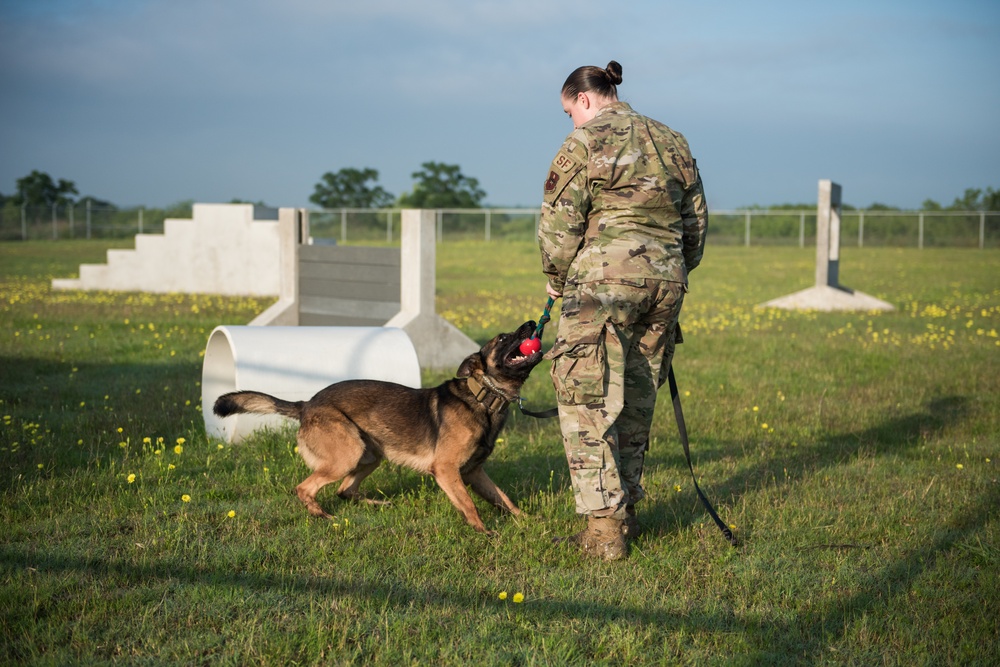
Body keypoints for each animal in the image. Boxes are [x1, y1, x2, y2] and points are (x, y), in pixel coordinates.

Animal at [211, 320, 544, 536]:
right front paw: (483, 532)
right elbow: (469, 504)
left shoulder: (474, 472)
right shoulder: (447, 470)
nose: (531, 323)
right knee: (306, 488)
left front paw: (528, 521)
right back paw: (322, 515)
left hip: (370, 455)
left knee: (345, 490)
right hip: (348, 452)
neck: (483, 396)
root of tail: (306, 404)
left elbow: (504, 500)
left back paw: (376, 503)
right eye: (502, 338)